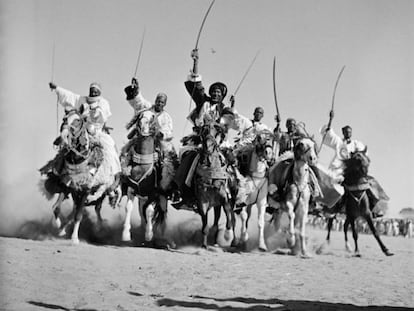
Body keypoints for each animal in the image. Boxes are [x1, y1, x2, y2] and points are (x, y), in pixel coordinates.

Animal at [119, 109, 168, 246]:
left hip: (162, 198)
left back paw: (162, 236)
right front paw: (126, 234)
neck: (142, 166)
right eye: (140, 115)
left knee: (163, 213)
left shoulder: (153, 193)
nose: (143, 126)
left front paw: (149, 235)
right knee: (142, 212)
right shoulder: (131, 189)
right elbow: (129, 208)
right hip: (142, 198)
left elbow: (150, 211)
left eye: (153, 117)